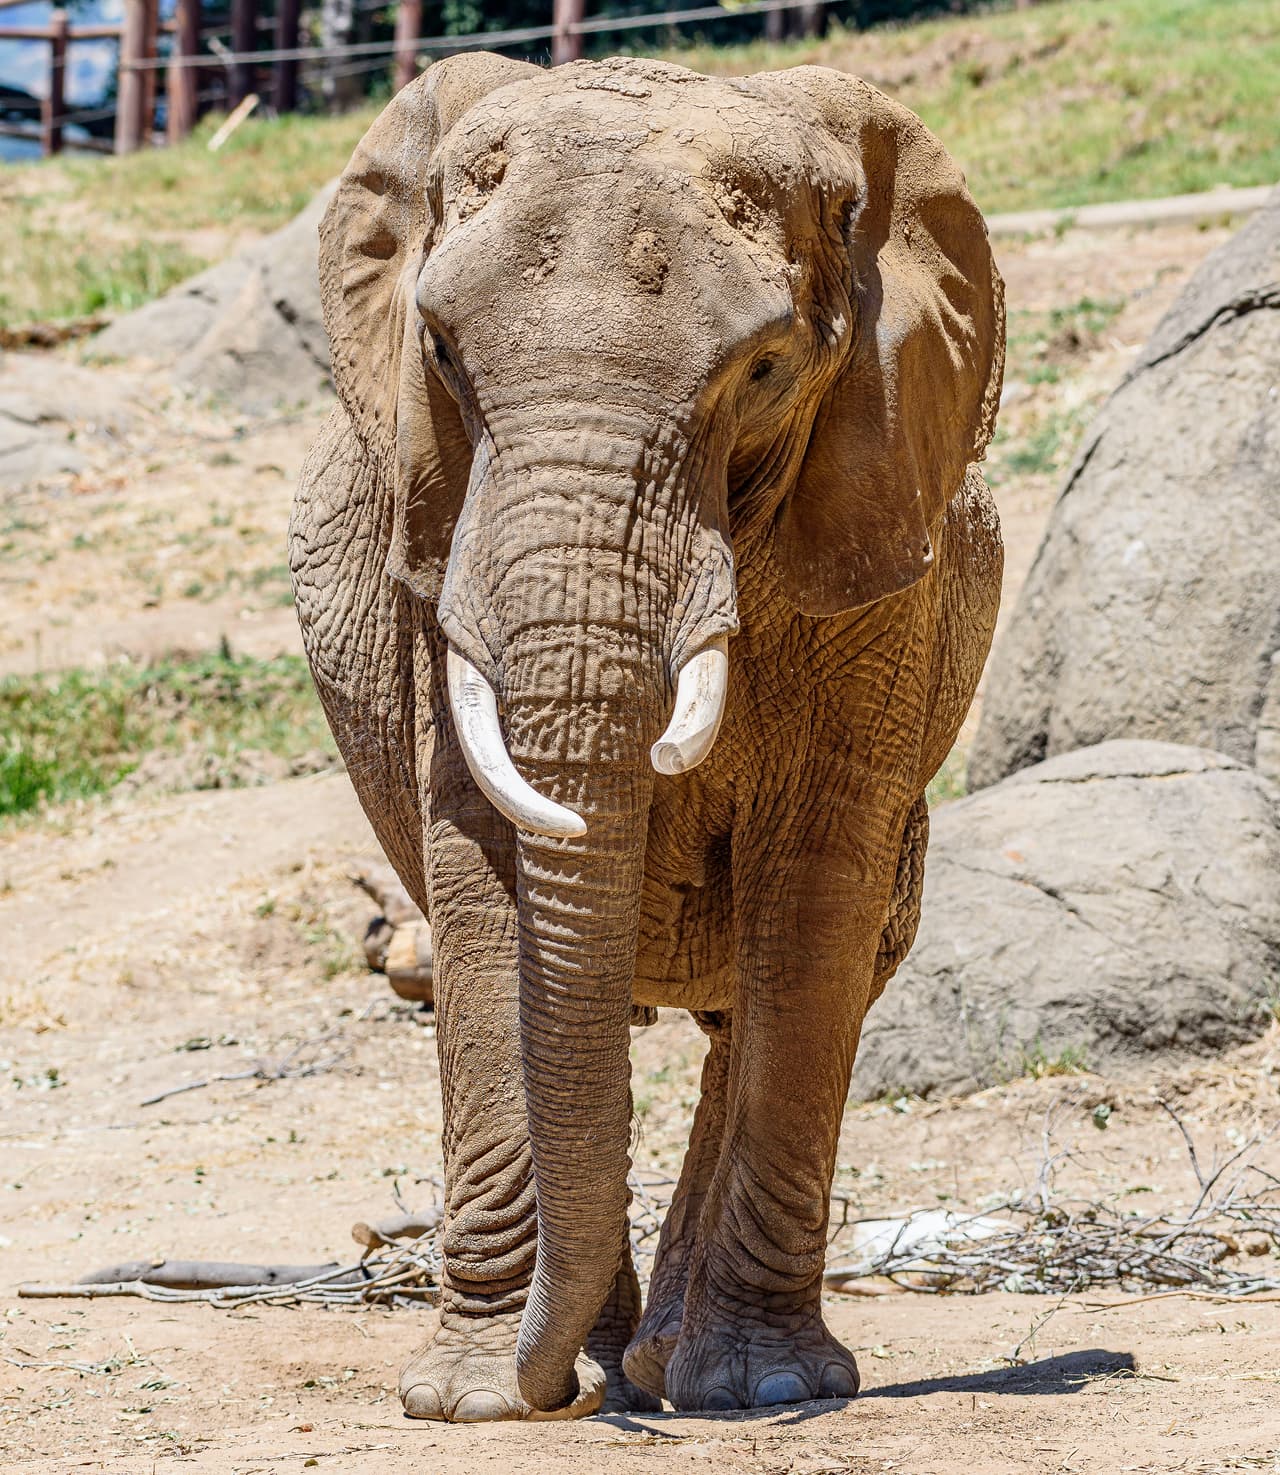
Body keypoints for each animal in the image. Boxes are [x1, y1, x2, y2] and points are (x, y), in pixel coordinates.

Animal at [289, 52, 1004, 1421]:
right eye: (441, 352)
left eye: (764, 370)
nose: (553, 1390)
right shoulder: (438, 553)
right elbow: (479, 875)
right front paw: (473, 1397)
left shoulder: (883, 550)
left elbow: (814, 893)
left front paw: (766, 1386)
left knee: (777, 994)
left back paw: (673, 1367)